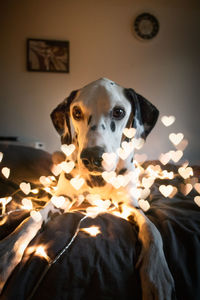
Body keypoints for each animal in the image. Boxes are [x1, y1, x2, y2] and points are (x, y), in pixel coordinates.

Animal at [50, 78, 176, 298]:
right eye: (76, 112)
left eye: (118, 112)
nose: (91, 158)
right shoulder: (61, 198)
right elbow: (28, 224)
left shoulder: (130, 205)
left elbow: (153, 231)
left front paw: (157, 275)